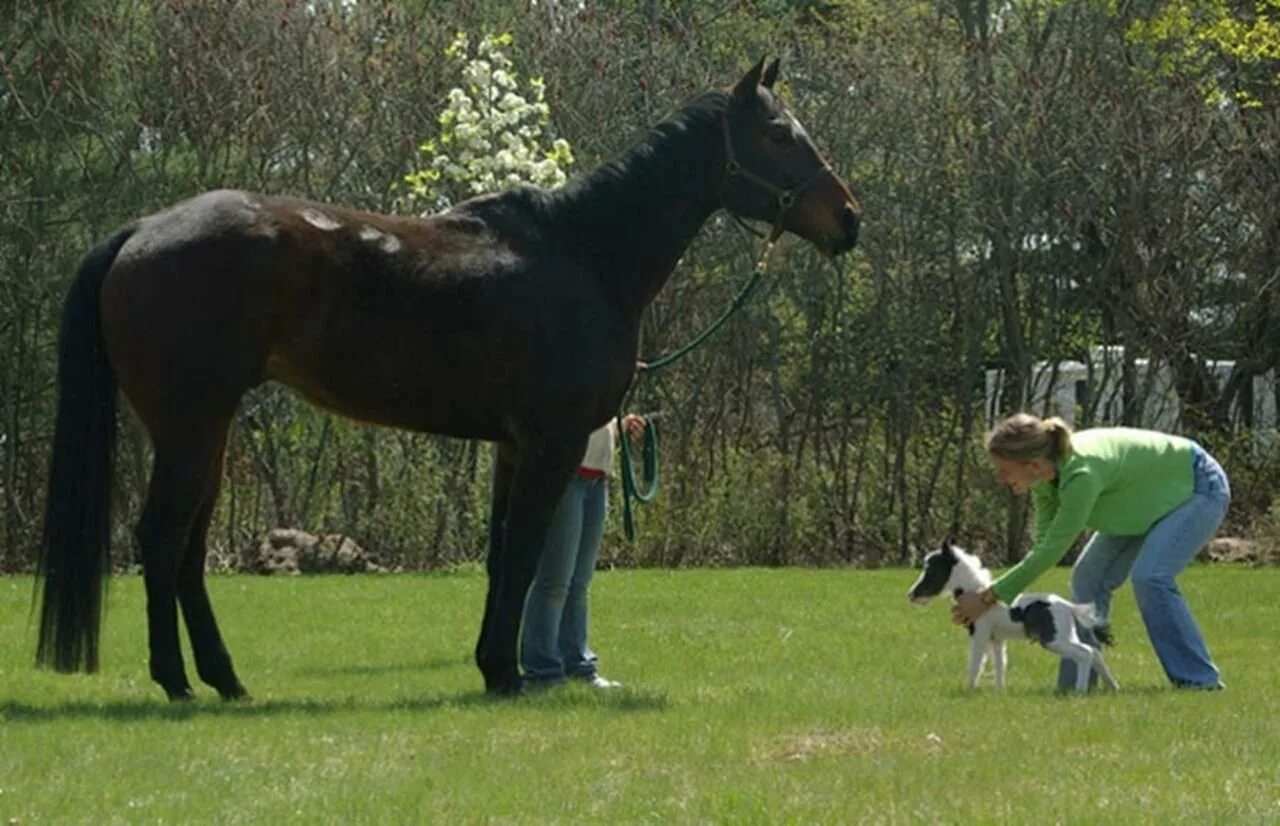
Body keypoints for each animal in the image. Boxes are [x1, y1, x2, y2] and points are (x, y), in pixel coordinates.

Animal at [35, 57, 860, 696]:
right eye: (779, 135)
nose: (848, 218)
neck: (583, 252)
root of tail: (143, 230)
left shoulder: (513, 447)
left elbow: (501, 558)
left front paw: (494, 667)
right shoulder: (554, 442)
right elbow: (524, 556)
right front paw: (510, 673)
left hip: (209, 433)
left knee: (188, 549)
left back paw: (224, 679)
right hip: (189, 428)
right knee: (159, 538)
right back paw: (176, 681)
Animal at [901, 537, 1121, 691]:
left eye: (930, 570)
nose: (911, 595)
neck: (976, 594)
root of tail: (1068, 606)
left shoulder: (980, 635)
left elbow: (976, 664)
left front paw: (969, 690)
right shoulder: (997, 640)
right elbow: (1000, 664)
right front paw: (1000, 692)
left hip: (1053, 640)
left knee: (1085, 653)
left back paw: (1080, 690)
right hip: (1066, 635)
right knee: (1094, 651)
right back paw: (1113, 686)